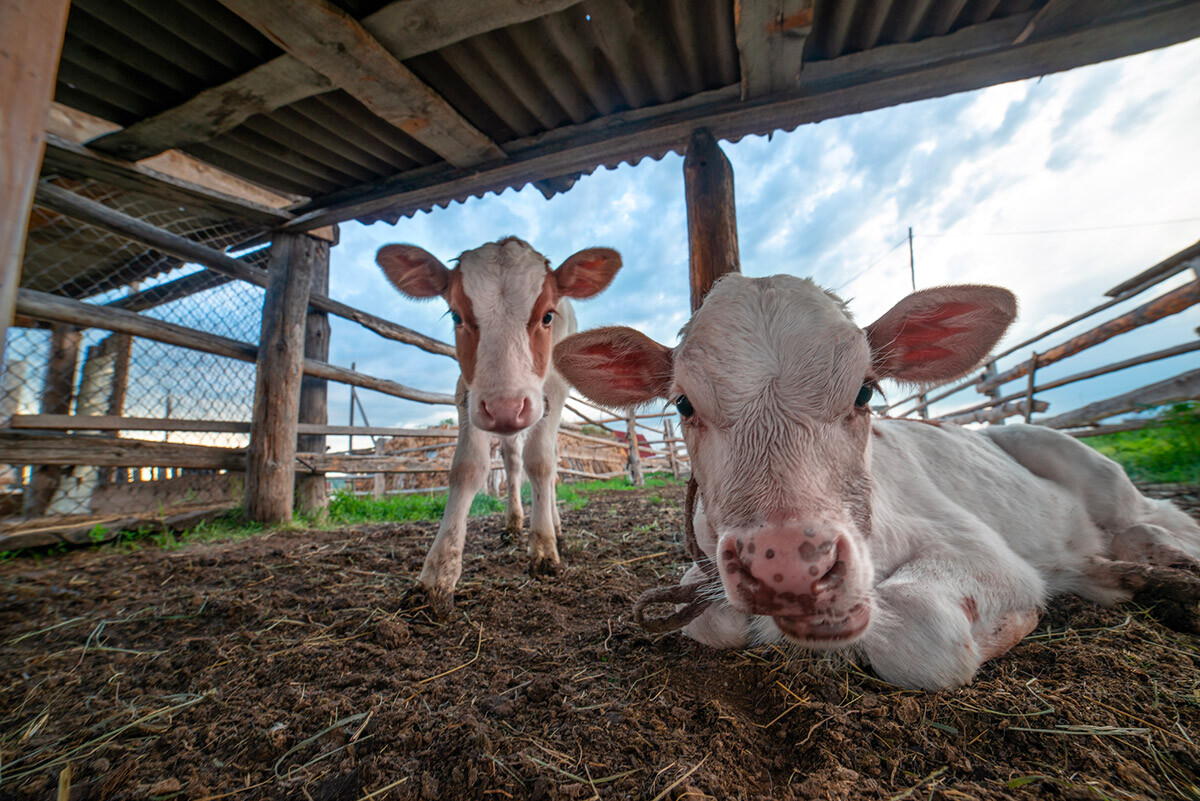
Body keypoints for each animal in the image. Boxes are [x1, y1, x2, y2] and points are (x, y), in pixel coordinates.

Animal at [554, 273, 1200, 690]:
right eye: (684, 404)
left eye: (865, 391)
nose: (787, 565)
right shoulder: (705, 572)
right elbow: (711, 619)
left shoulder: (980, 551)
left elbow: (918, 629)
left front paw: (1019, 622)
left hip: (1078, 459)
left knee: (1153, 515)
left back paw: (1159, 558)